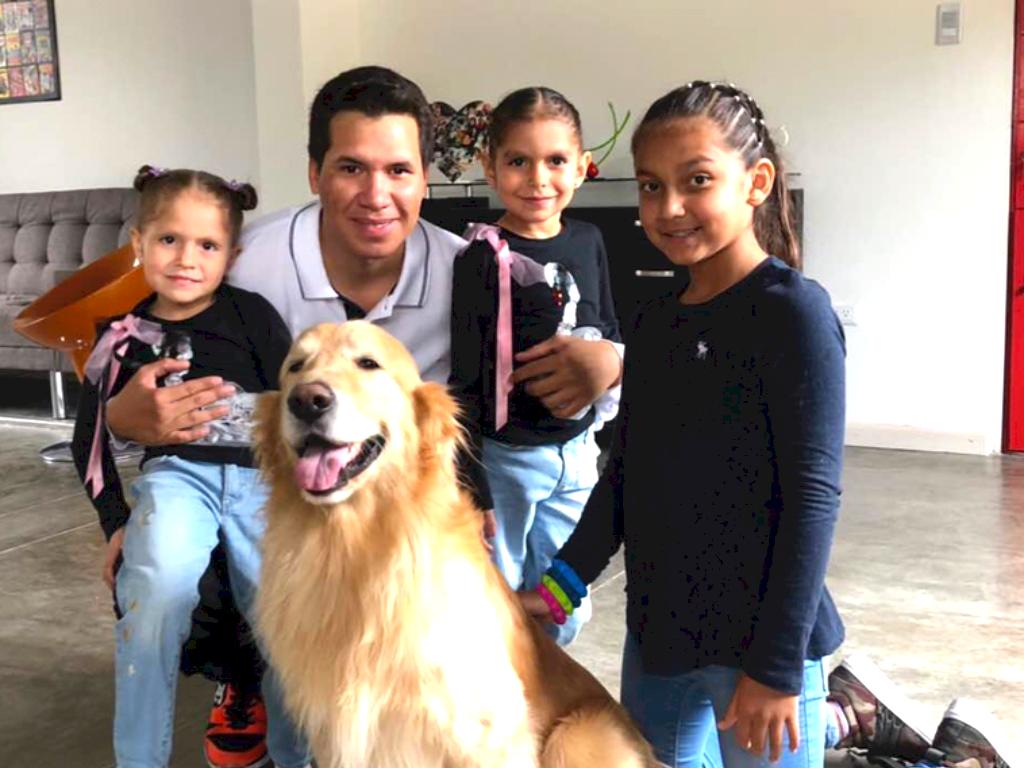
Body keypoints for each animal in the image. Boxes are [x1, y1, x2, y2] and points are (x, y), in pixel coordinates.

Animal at [255, 321, 658, 768]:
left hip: (575, 738)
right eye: (296, 366)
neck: (357, 545)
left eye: (368, 363)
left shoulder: (487, 731)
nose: (307, 400)